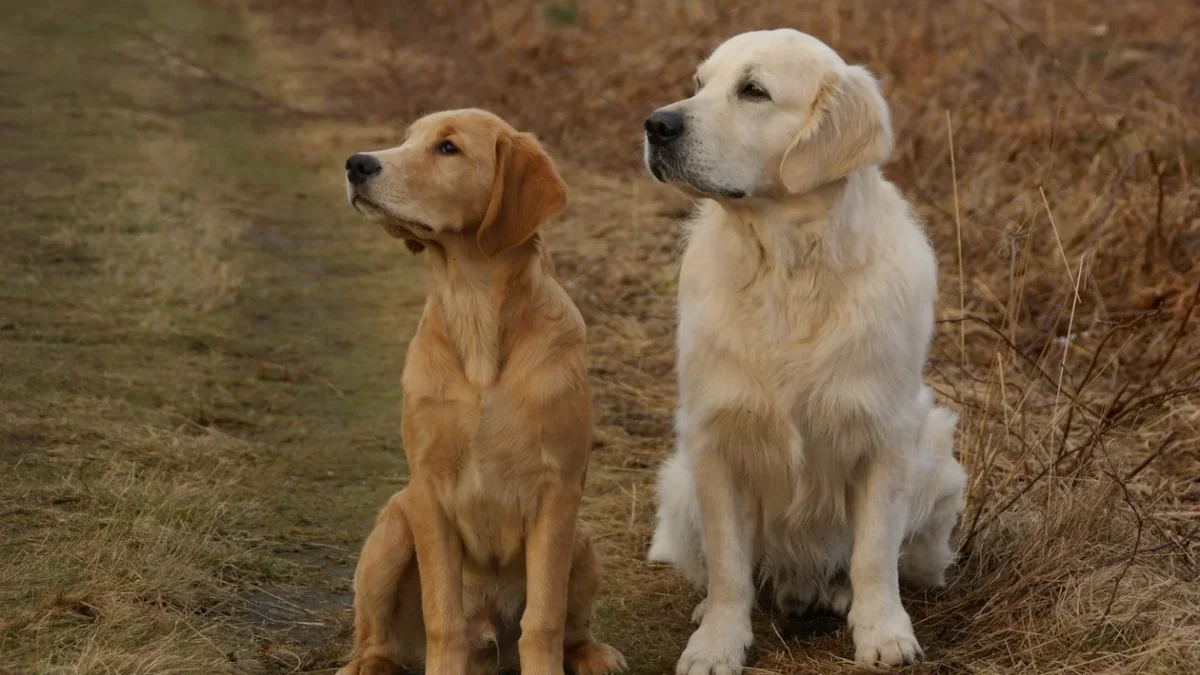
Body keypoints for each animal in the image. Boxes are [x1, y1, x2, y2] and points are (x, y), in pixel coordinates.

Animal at [336, 107, 624, 672]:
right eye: (406, 140)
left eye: (448, 148)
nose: (357, 164)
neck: (474, 313)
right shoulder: (428, 489)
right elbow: (442, 617)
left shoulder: (557, 490)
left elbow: (544, 620)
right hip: (392, 529)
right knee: (381, 637)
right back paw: (368, 662)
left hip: (581, 540)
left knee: (570, 627)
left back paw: (591, 653)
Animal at [648, 28, 964, 667]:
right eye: (699, 84)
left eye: (753, 91)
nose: (654, 124)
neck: (788, 268)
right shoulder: (716, 438)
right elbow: (729, 568)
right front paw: (717, 643)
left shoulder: (886, 437)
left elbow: (873, 555)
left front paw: (884, 633)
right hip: (678, 484)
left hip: (939, 463)